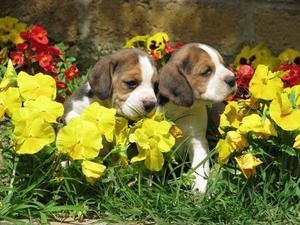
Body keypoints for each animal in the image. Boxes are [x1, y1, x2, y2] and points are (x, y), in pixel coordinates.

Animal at [159, 43, 237, 192]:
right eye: (206, 72)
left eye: (223, 64)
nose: (233, 79)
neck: (180, 109)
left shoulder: (198, 140)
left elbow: (200, 168)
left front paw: (199, 191)